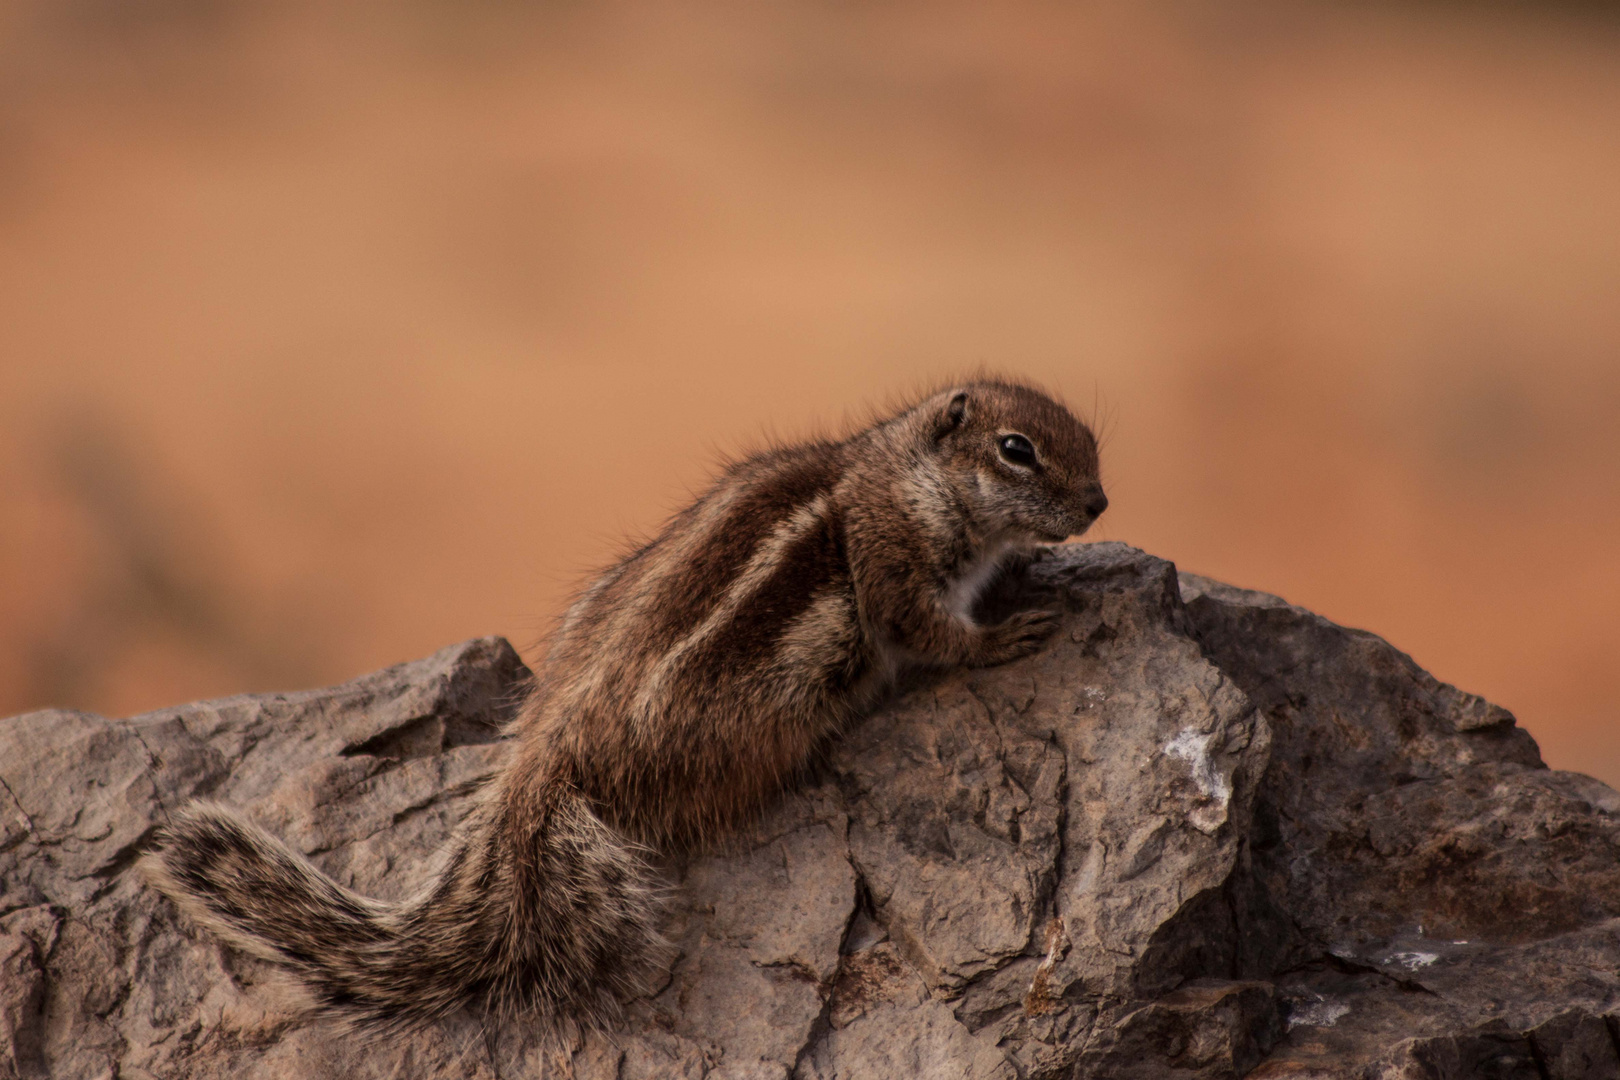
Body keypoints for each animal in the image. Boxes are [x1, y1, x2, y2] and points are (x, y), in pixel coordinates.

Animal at [142, 378, 1101, 1029]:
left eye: (1088, 435)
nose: (1099, 501)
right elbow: (933, 633)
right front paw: (1009, 631)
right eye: (1017, 448)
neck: (906, 474)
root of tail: (551, 748)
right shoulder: (896, 567)